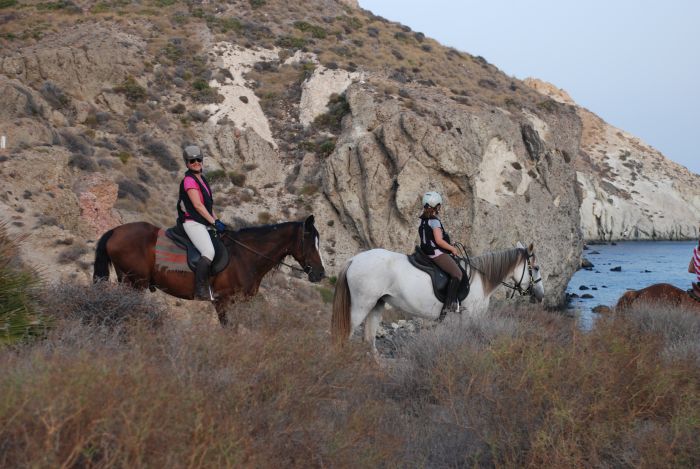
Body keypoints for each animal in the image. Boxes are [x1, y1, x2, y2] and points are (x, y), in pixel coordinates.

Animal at [91, 215, 328, 322]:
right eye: (310, 242)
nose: (320, 274)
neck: (246, 256)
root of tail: (115, 231)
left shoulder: (241, 304)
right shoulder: (223, 302)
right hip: (135, 282)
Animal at [330, 243, 544, 352]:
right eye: (535, 267)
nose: (541, 296)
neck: (481, 278)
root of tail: (354, 260)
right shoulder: (471, 317)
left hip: (377, 305)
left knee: (369, 340)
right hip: (361, 306)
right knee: (345, 336)